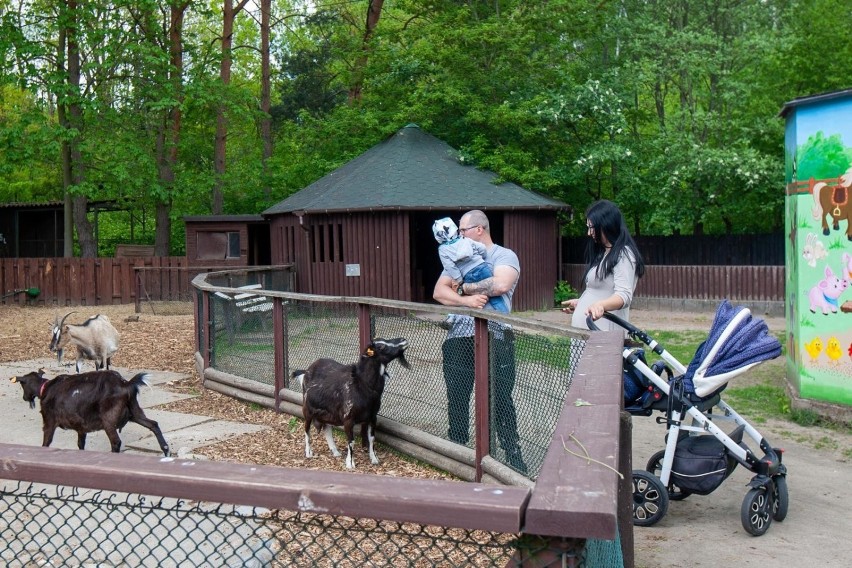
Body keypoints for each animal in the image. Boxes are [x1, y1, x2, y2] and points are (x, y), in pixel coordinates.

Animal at [9, 368, 170, 458]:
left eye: (22, 384)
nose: (25, 398)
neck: (45, 388)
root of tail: (126, 384)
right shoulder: (81, 426)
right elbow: (80, 444)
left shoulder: (49, 421)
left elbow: (46, 442)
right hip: (134, 411)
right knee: (153, 424)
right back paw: (166, 450)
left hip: (109, 419)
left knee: (116, 442)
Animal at [294, 340, 412, 468]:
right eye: (381, 346)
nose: (403, 340)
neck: (362, 384)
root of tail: (306, 371)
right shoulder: (348, 419)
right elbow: (351, 441)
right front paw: (350, 463)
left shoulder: (372, 417)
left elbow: (372, 438)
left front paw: (374, 459)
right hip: (307, 411)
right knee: (307, 430)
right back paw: (308, 453)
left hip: (327, 413)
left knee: (327, 428)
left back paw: (335, 452)